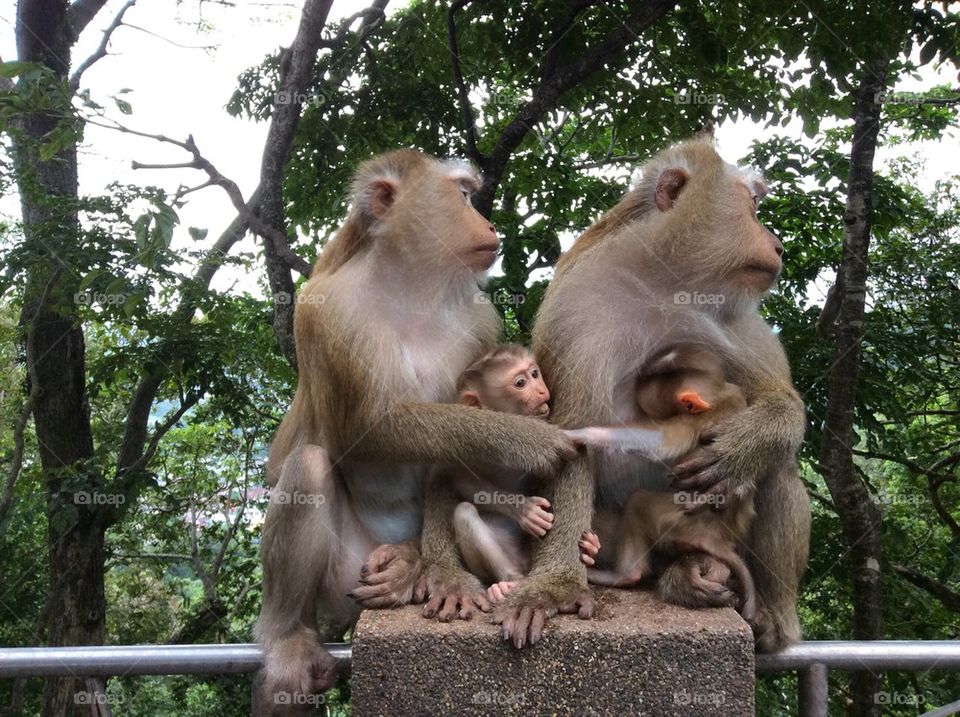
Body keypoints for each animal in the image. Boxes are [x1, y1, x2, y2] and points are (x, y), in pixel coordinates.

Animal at [254, 150, 577, 712]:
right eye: (463, 195)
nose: (487, 222)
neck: (411, 287)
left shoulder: (479, 321)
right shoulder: (325, 310)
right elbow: (366, 427)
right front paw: (526, 439)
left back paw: (408, 564)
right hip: (340, 575)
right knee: (309, 464)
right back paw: (287, 636)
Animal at [493, 134, 810, 653]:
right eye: (752, 205)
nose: (779, 244)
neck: (667, 282)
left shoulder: (735, 317)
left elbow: (779, 399)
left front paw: (745, 444)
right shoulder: (577, 312)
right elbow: (569, 439)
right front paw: (553, 586)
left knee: (779, 466)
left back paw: (765, 610)